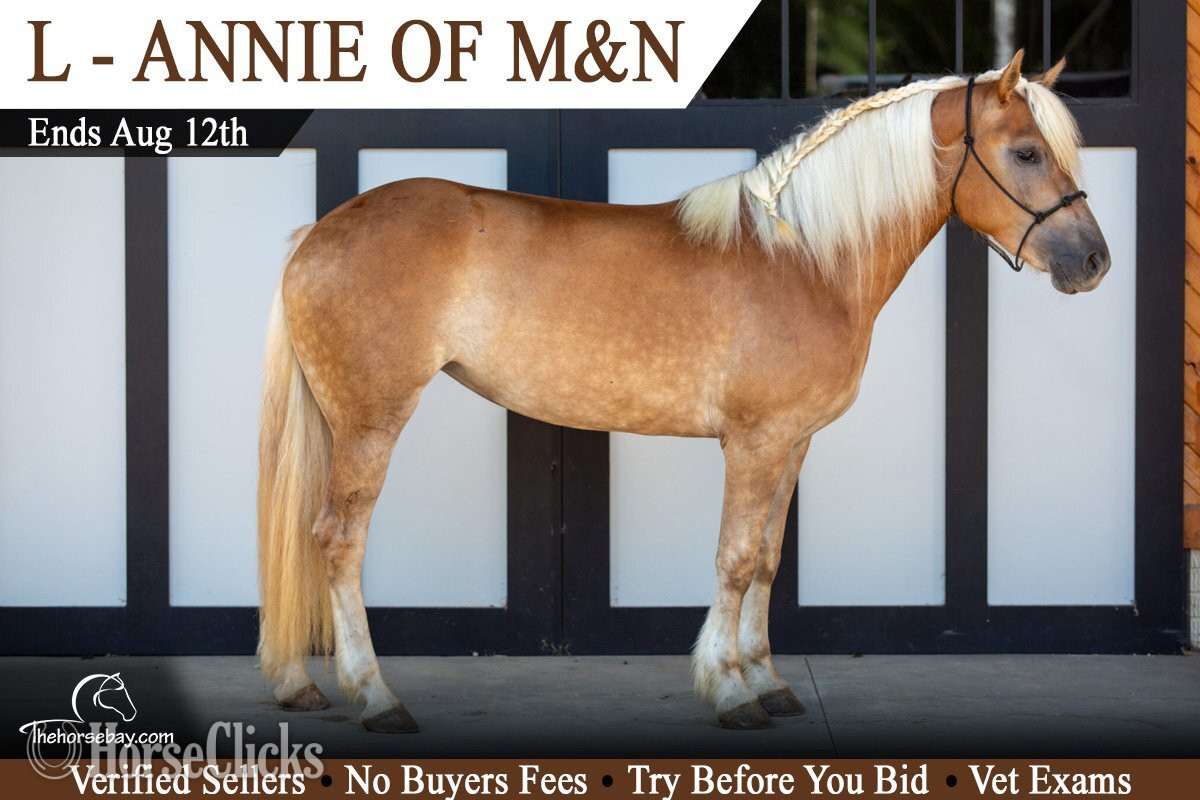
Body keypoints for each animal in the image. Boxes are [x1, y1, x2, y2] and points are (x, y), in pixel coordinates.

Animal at [256, 50, 1109, 732]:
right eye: (1026, 151)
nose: (1094, 260)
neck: (804, 260)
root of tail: (317, 234)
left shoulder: (792, 444)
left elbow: (766, 559)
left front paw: (768, 682)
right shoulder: (754, 443)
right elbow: (732, 559)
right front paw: (730, 694)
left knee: (303, 533)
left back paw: (298, 685)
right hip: (372, 421)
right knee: (339, 540)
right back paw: (376, 699)